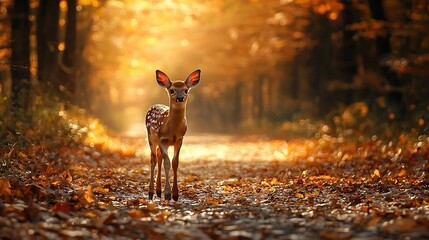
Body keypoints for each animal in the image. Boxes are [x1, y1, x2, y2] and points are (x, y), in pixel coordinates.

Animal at [145, 69, 201, 201]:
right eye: (172, 90)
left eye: (186, 90)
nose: (180, 98)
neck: (172, 129)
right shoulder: (163, 139)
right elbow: (167, 163)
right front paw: (168, 194)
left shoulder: (179, 140)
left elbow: (175, 163)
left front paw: (175, 194)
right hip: (151, 138)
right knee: (153, 159)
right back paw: (151, 193)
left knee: (158, 157)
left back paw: (158, 191)